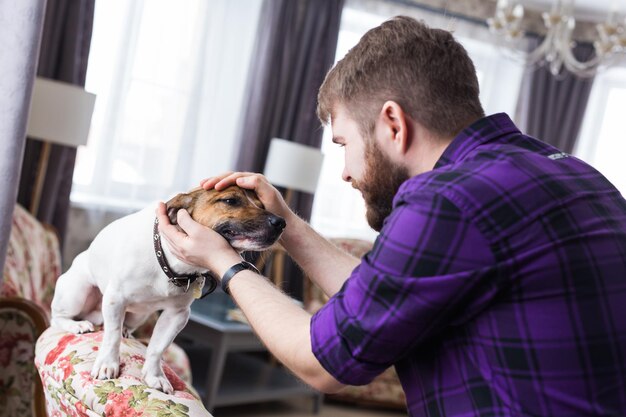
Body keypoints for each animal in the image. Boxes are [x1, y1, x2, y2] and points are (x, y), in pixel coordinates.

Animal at [50, 187, 284, 392]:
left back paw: (124, 329)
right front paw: (108, 363)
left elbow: (157, 348)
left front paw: (155, 376)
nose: (281, 222)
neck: (169, 262)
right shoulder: (115, 299)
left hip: (139, 315)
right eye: (230, 200)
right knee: (57, 317)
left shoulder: (177, 315)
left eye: (262, 203)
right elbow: (112, 336)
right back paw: (77, 325)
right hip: (77, 293)